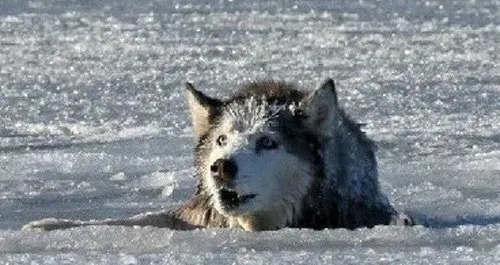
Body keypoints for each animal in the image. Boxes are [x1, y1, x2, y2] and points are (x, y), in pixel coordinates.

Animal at [22, 79, 414, 231]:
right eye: (222, 139)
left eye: (268, 143)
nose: (221, 167)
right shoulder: (196, 218)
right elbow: (133, 220)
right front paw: (48, 225)